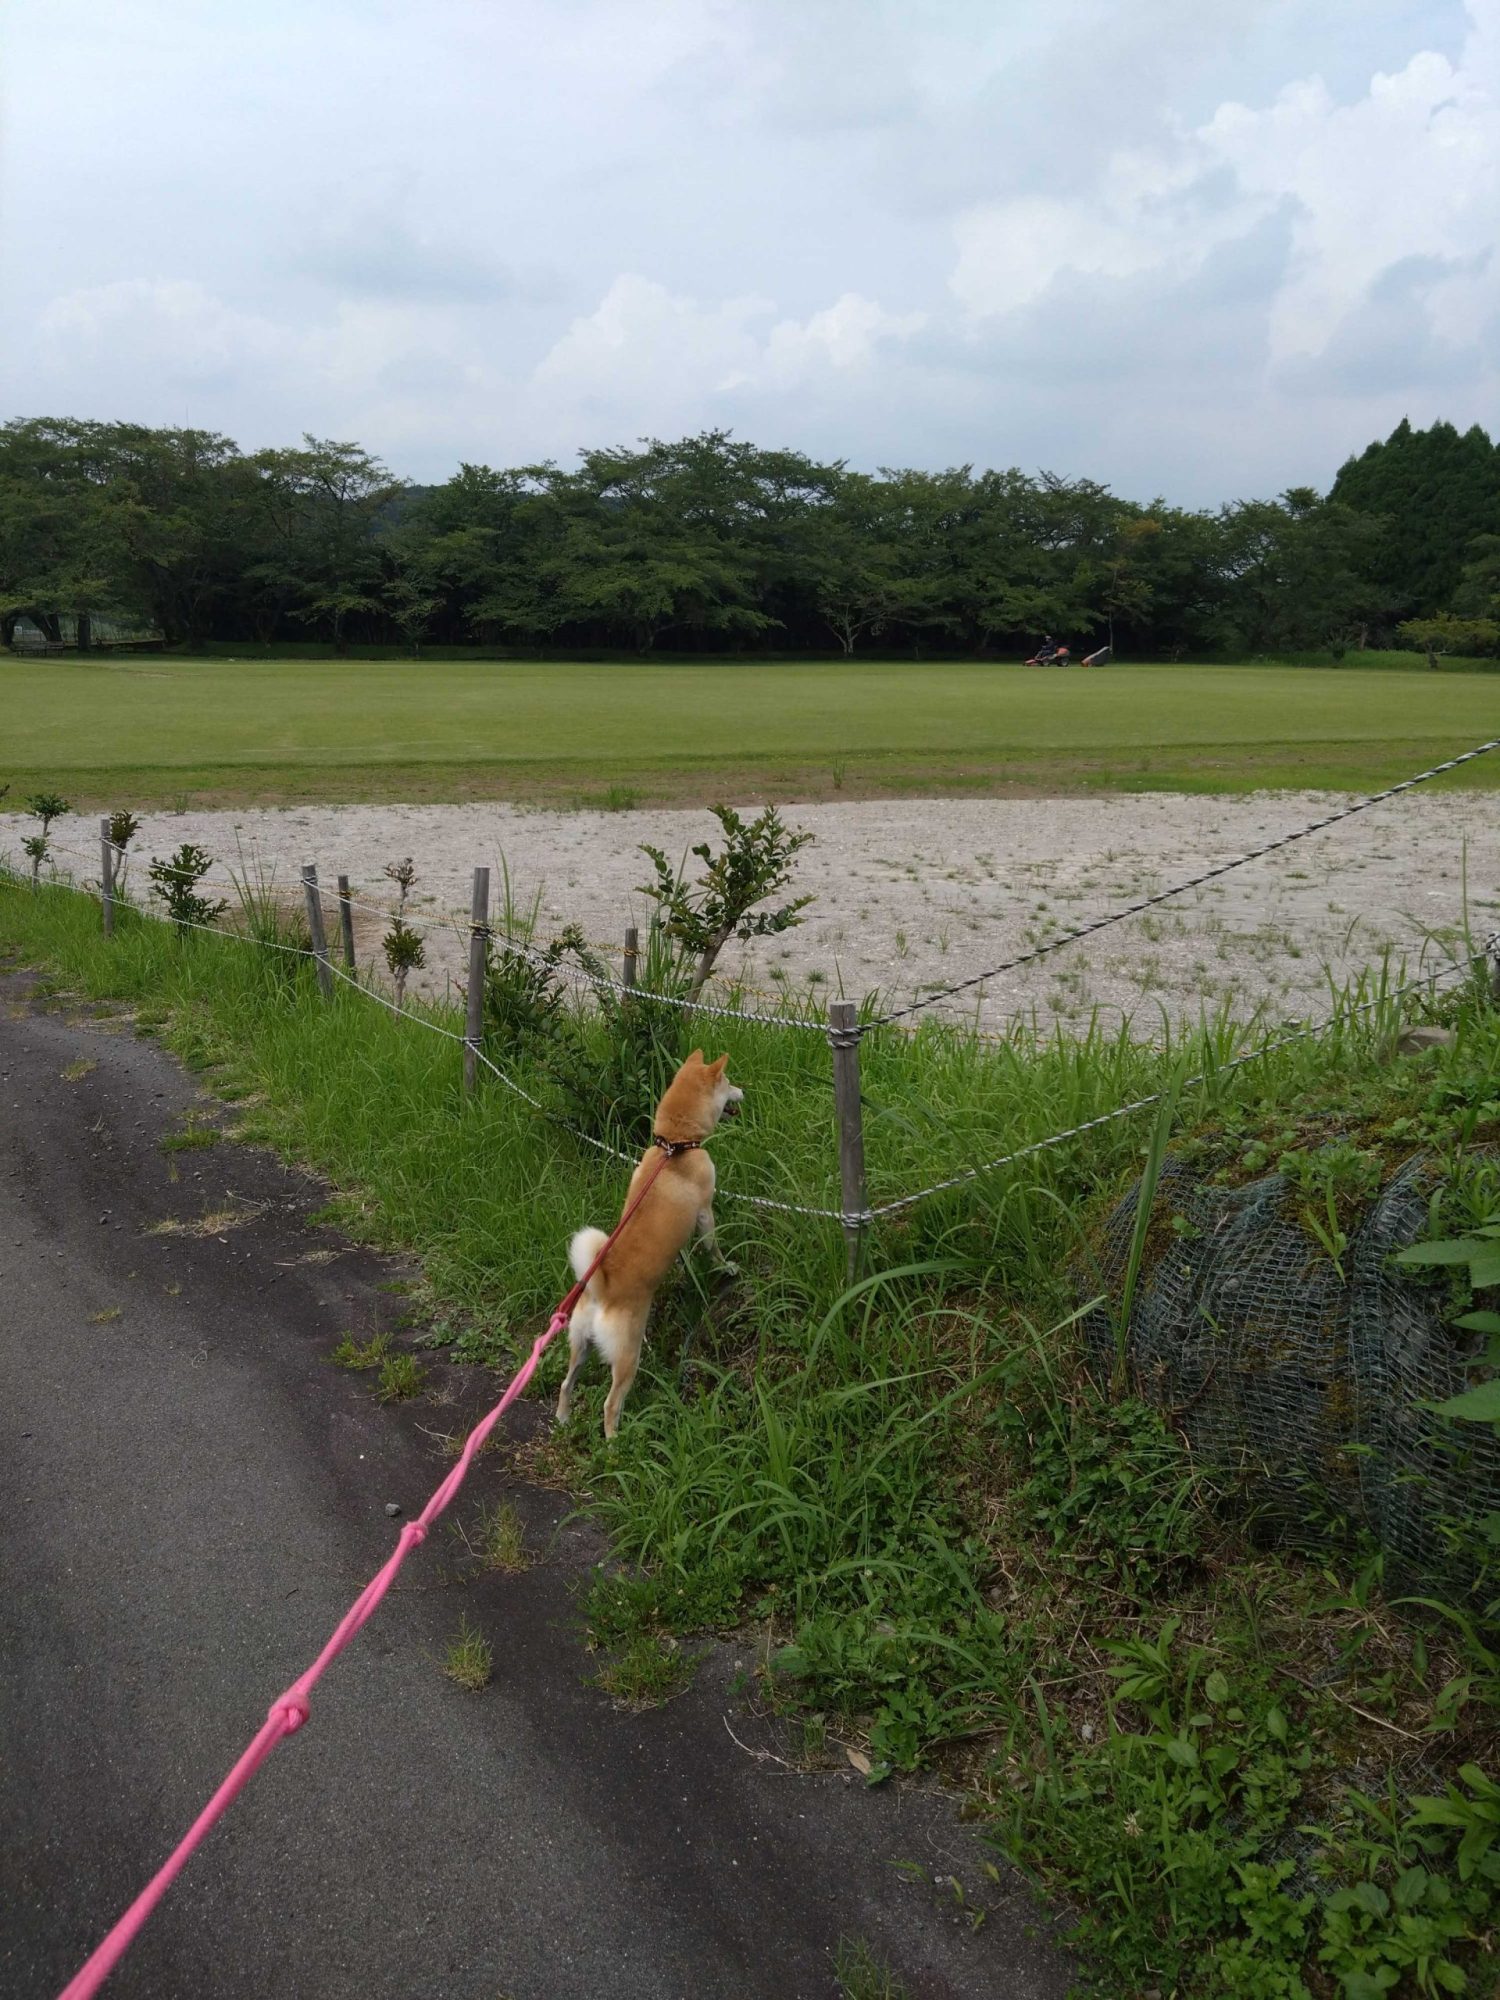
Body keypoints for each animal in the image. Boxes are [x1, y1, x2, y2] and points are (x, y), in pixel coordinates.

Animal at [556, 1048, 744, 1440]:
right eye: (729, 1082)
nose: (743, 1091)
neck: (674, 1146)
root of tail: (601, 1291)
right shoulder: (705, 1212)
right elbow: (713, 1246)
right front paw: (726, 1266)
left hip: (579, 1345)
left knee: (566, 1383)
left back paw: (563, 1419)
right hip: (626, 1357)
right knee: (610, 1405)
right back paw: (616, 1443)